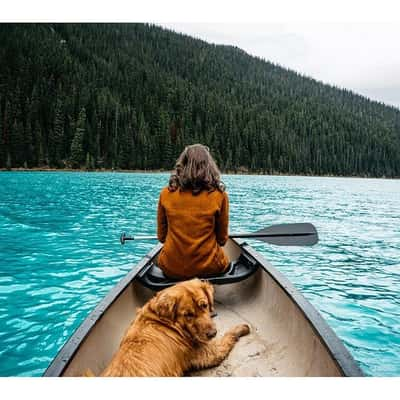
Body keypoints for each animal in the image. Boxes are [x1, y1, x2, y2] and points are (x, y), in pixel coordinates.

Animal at [92, 280, 252, 376]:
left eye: (205, 305)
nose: (212, 333)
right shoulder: (209, 352)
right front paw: (242, 327)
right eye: (188, 314)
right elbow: (228, 335)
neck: (164, 321)